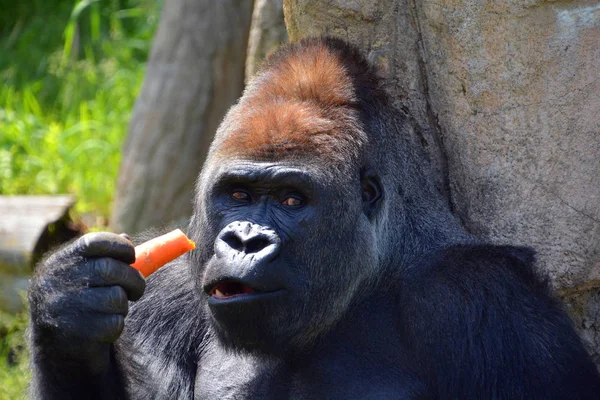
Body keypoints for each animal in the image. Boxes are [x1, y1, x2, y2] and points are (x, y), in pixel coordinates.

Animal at [28, 36, 600, 396]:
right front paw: (68, 309)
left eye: (290, 200)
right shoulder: (165, 296)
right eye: (238, 194)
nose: (244, 241)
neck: (374, 274)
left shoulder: (485, 301)